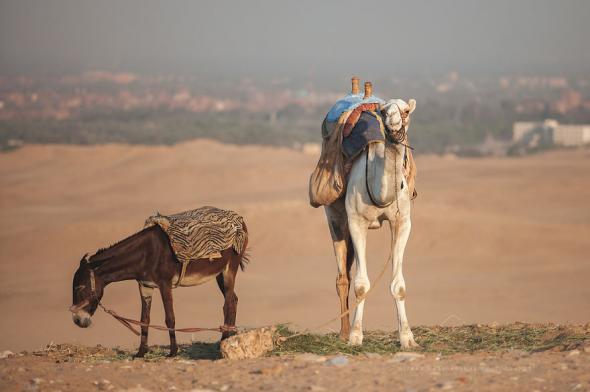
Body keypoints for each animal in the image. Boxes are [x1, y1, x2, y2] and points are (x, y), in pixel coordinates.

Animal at [324, 97, 420, 346]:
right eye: (384, 111)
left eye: (406, 110)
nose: (393, 121)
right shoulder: (357, 222)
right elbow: (361, 285)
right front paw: (356, 336)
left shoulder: (403, 222)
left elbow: (399, 285)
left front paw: (407, 337)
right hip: (335, 216)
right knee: (342, 277)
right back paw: (344, 332)